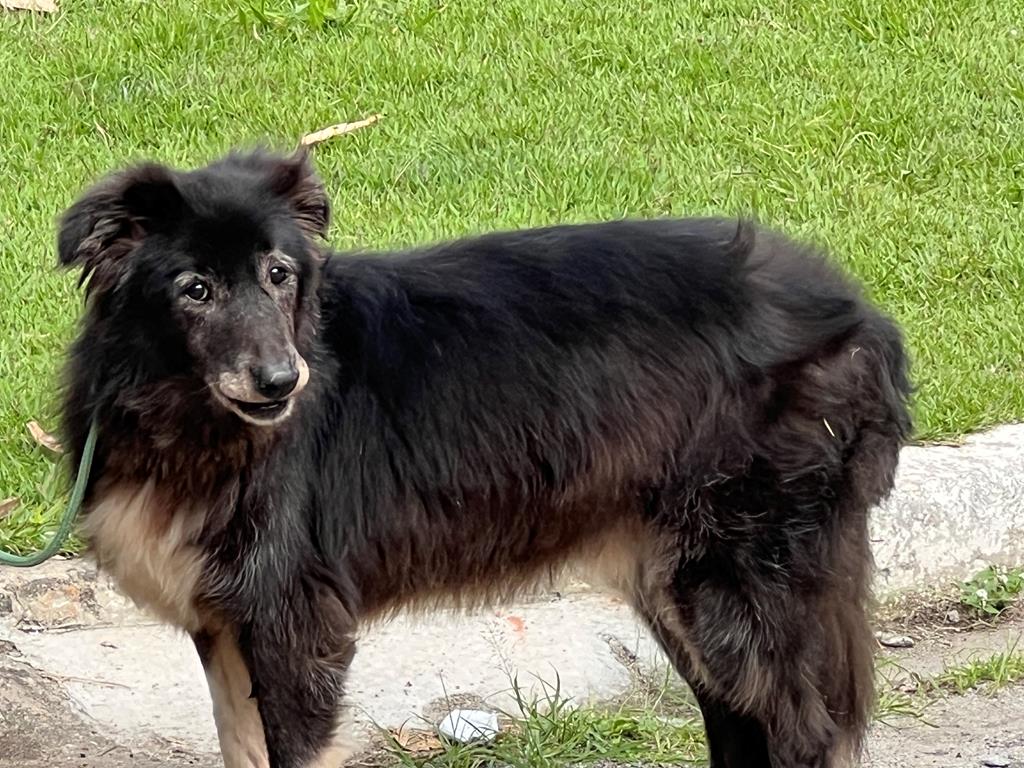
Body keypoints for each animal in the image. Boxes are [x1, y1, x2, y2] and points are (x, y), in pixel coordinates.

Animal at [56, 151, 909, 768]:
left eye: (279, 275)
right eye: (194, 289)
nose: (280, 381)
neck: (187, 418)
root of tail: (865, 319)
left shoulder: (295, 626)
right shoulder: (227, 625)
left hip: (738, 579)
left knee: (804, 736)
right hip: (677, 584)